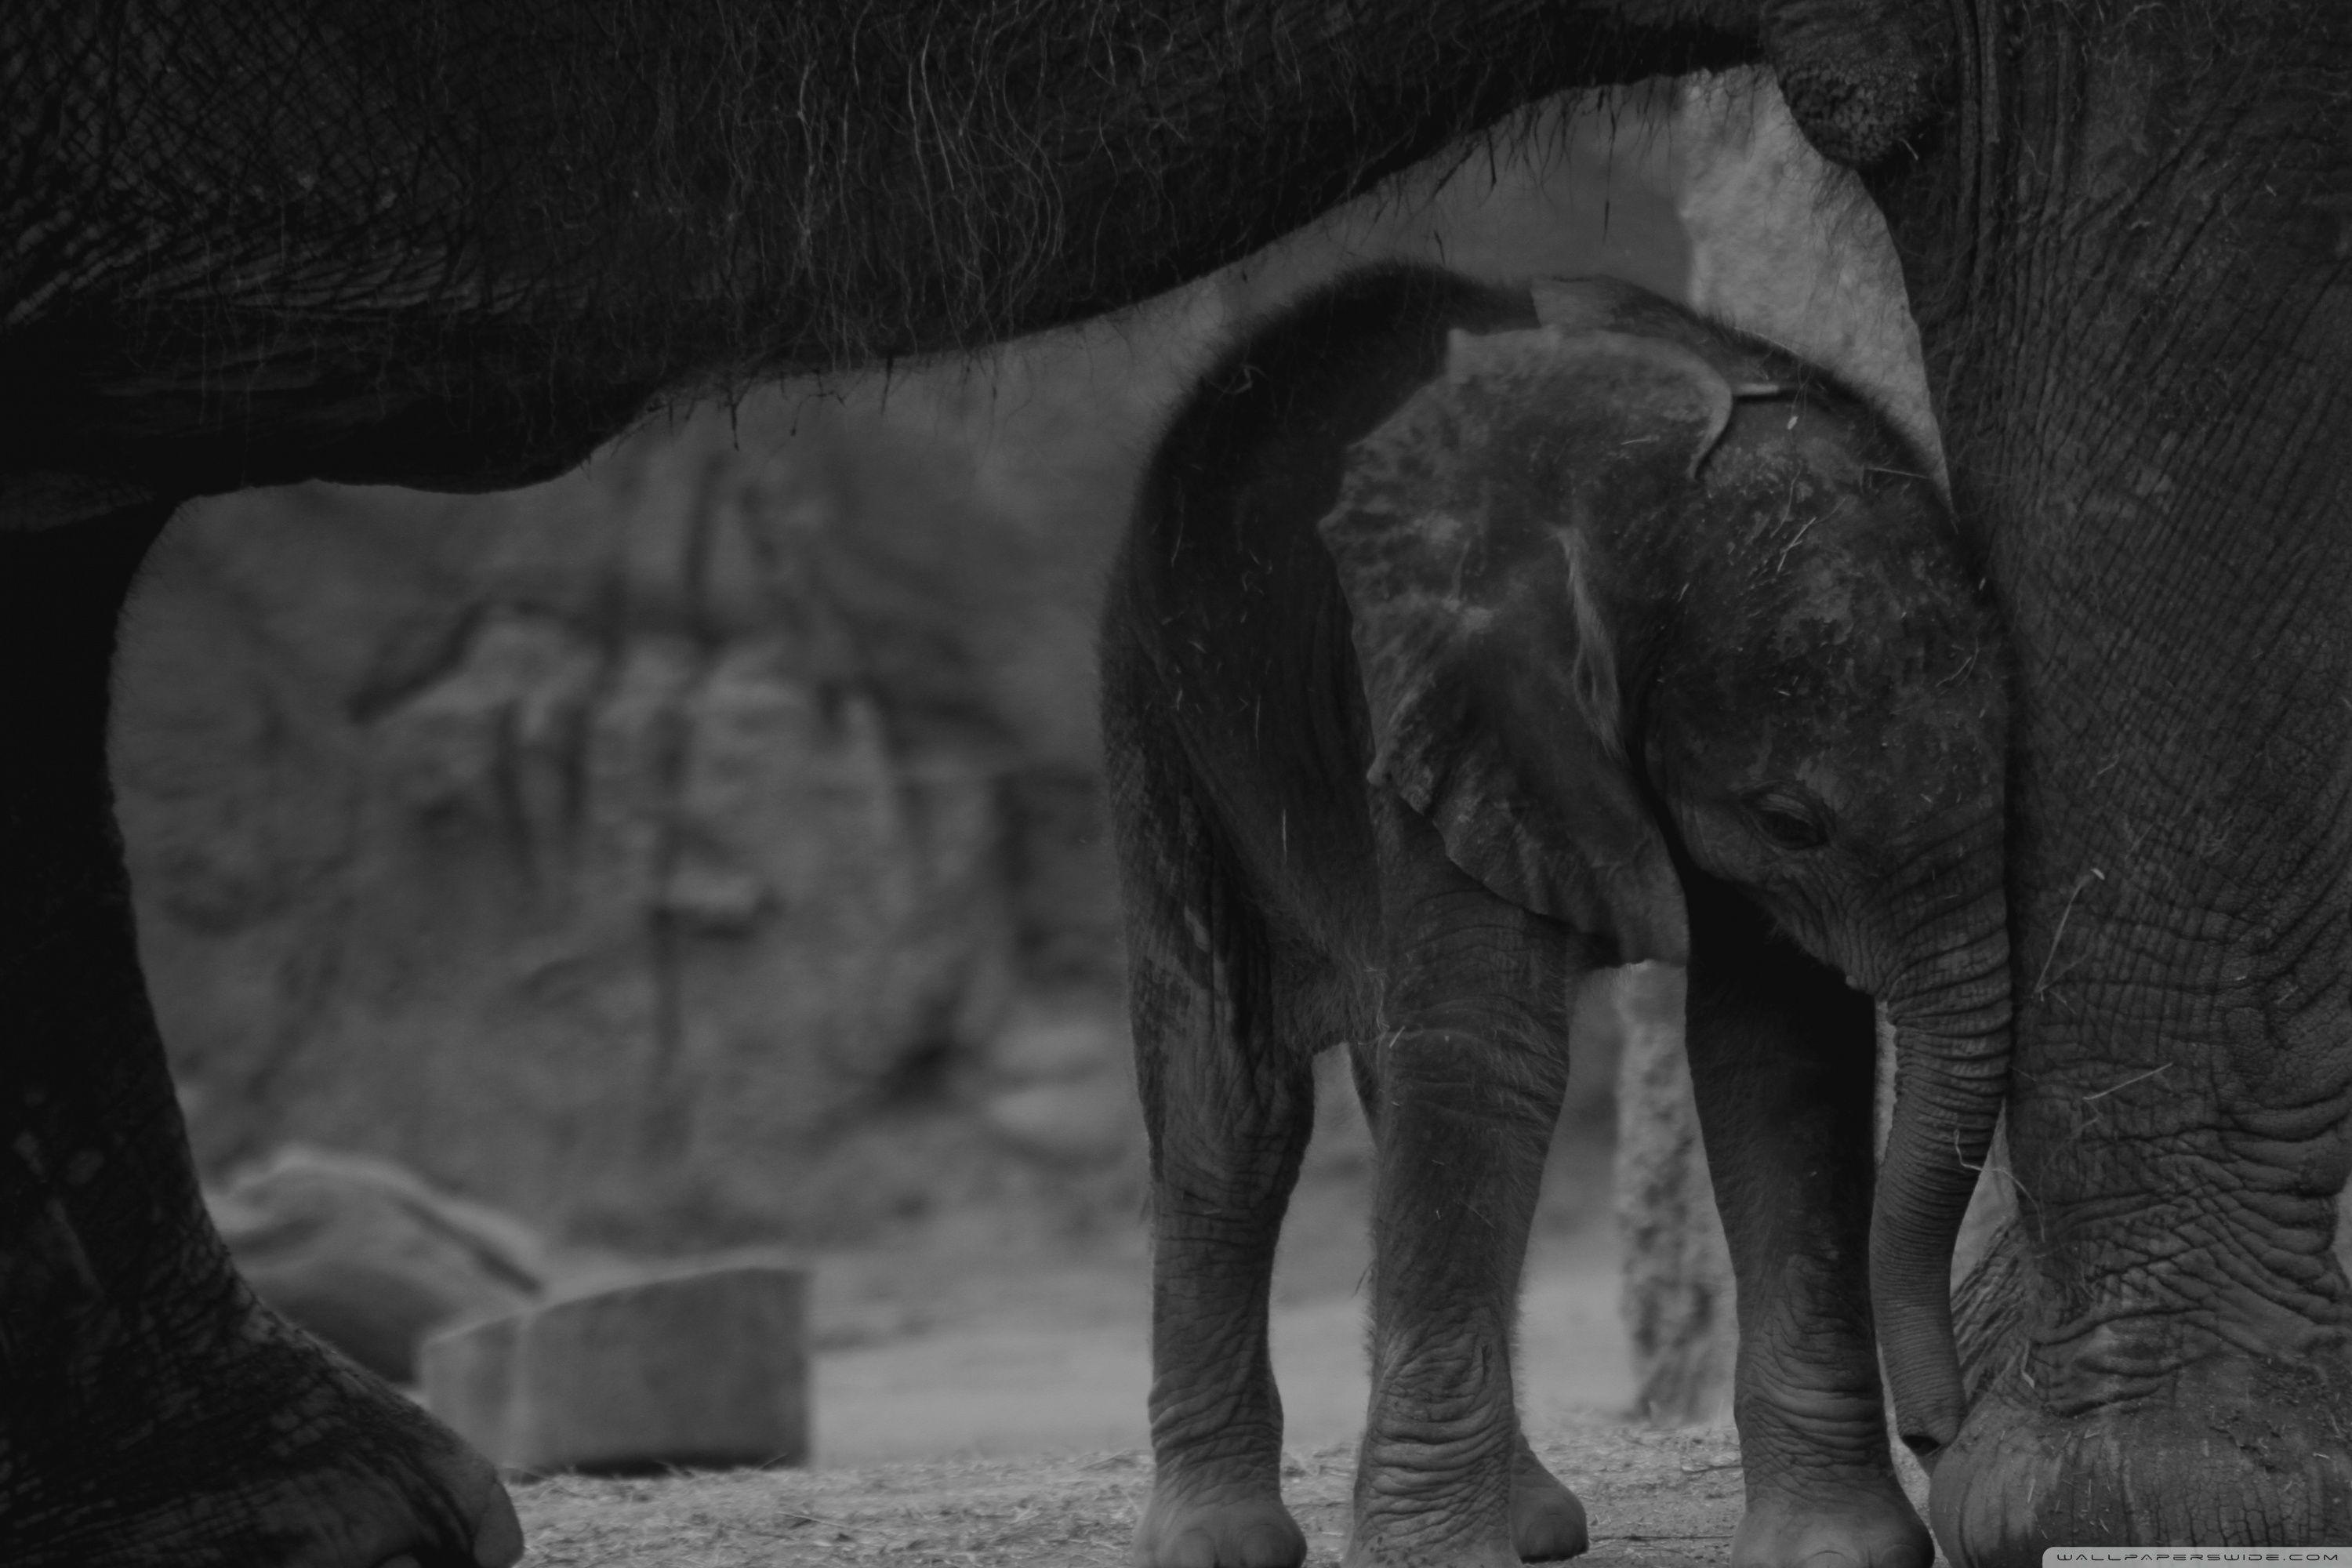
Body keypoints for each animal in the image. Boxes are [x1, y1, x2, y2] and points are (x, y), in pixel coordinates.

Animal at [1099, 262, 2009, 1568]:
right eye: (1791, 820)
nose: (1942, 1431)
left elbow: (1776, 1053)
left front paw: (1835, 1552)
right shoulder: (1458, 696)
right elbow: (1491, 1053)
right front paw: (1431, 1560)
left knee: (1378, 1065)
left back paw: (1530, 1521)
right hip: (1156, 707)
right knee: (1232, 1101)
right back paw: (1221, 1543)